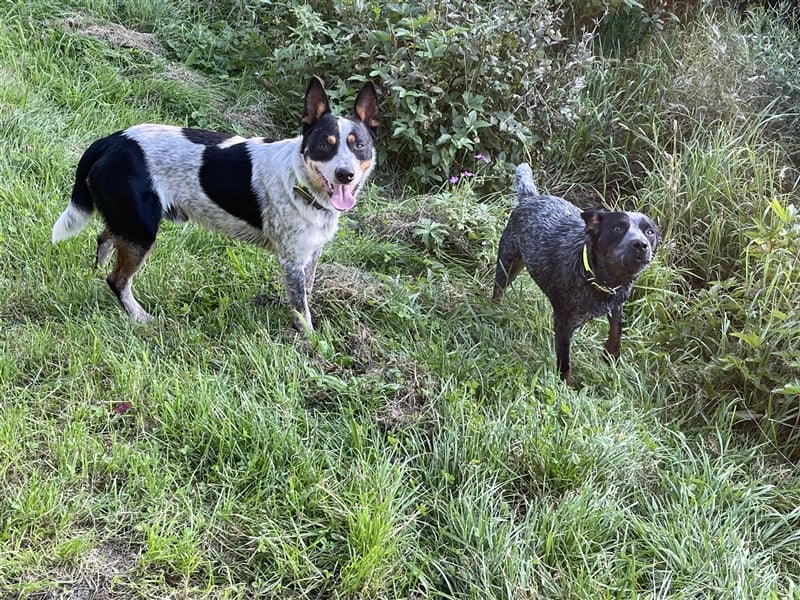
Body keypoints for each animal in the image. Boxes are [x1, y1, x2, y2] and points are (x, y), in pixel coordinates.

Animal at [50, 76, 382, 332]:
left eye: (359, 145)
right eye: (325, 144)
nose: (345, 174)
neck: (300, 179)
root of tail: (112, 140)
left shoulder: (311, 253)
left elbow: (306, 293)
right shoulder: (291, 260)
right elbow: (302, 310)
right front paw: (310, 344)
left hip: (129, 221)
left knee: (104, 237)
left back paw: (94, 272)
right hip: (142, 231)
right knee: (117, 280)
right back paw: (140, 316)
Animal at [490, 163, 660, 384]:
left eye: (649, 232)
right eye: (617, 228)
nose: (640, 244)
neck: (602, 281)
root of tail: (531, 198)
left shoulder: (617, 304)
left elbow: (617, 330)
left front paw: (610, 354)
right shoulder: (564, 322)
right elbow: (564, 360)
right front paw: (566, 383)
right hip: (508, 263)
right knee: (498, 289)